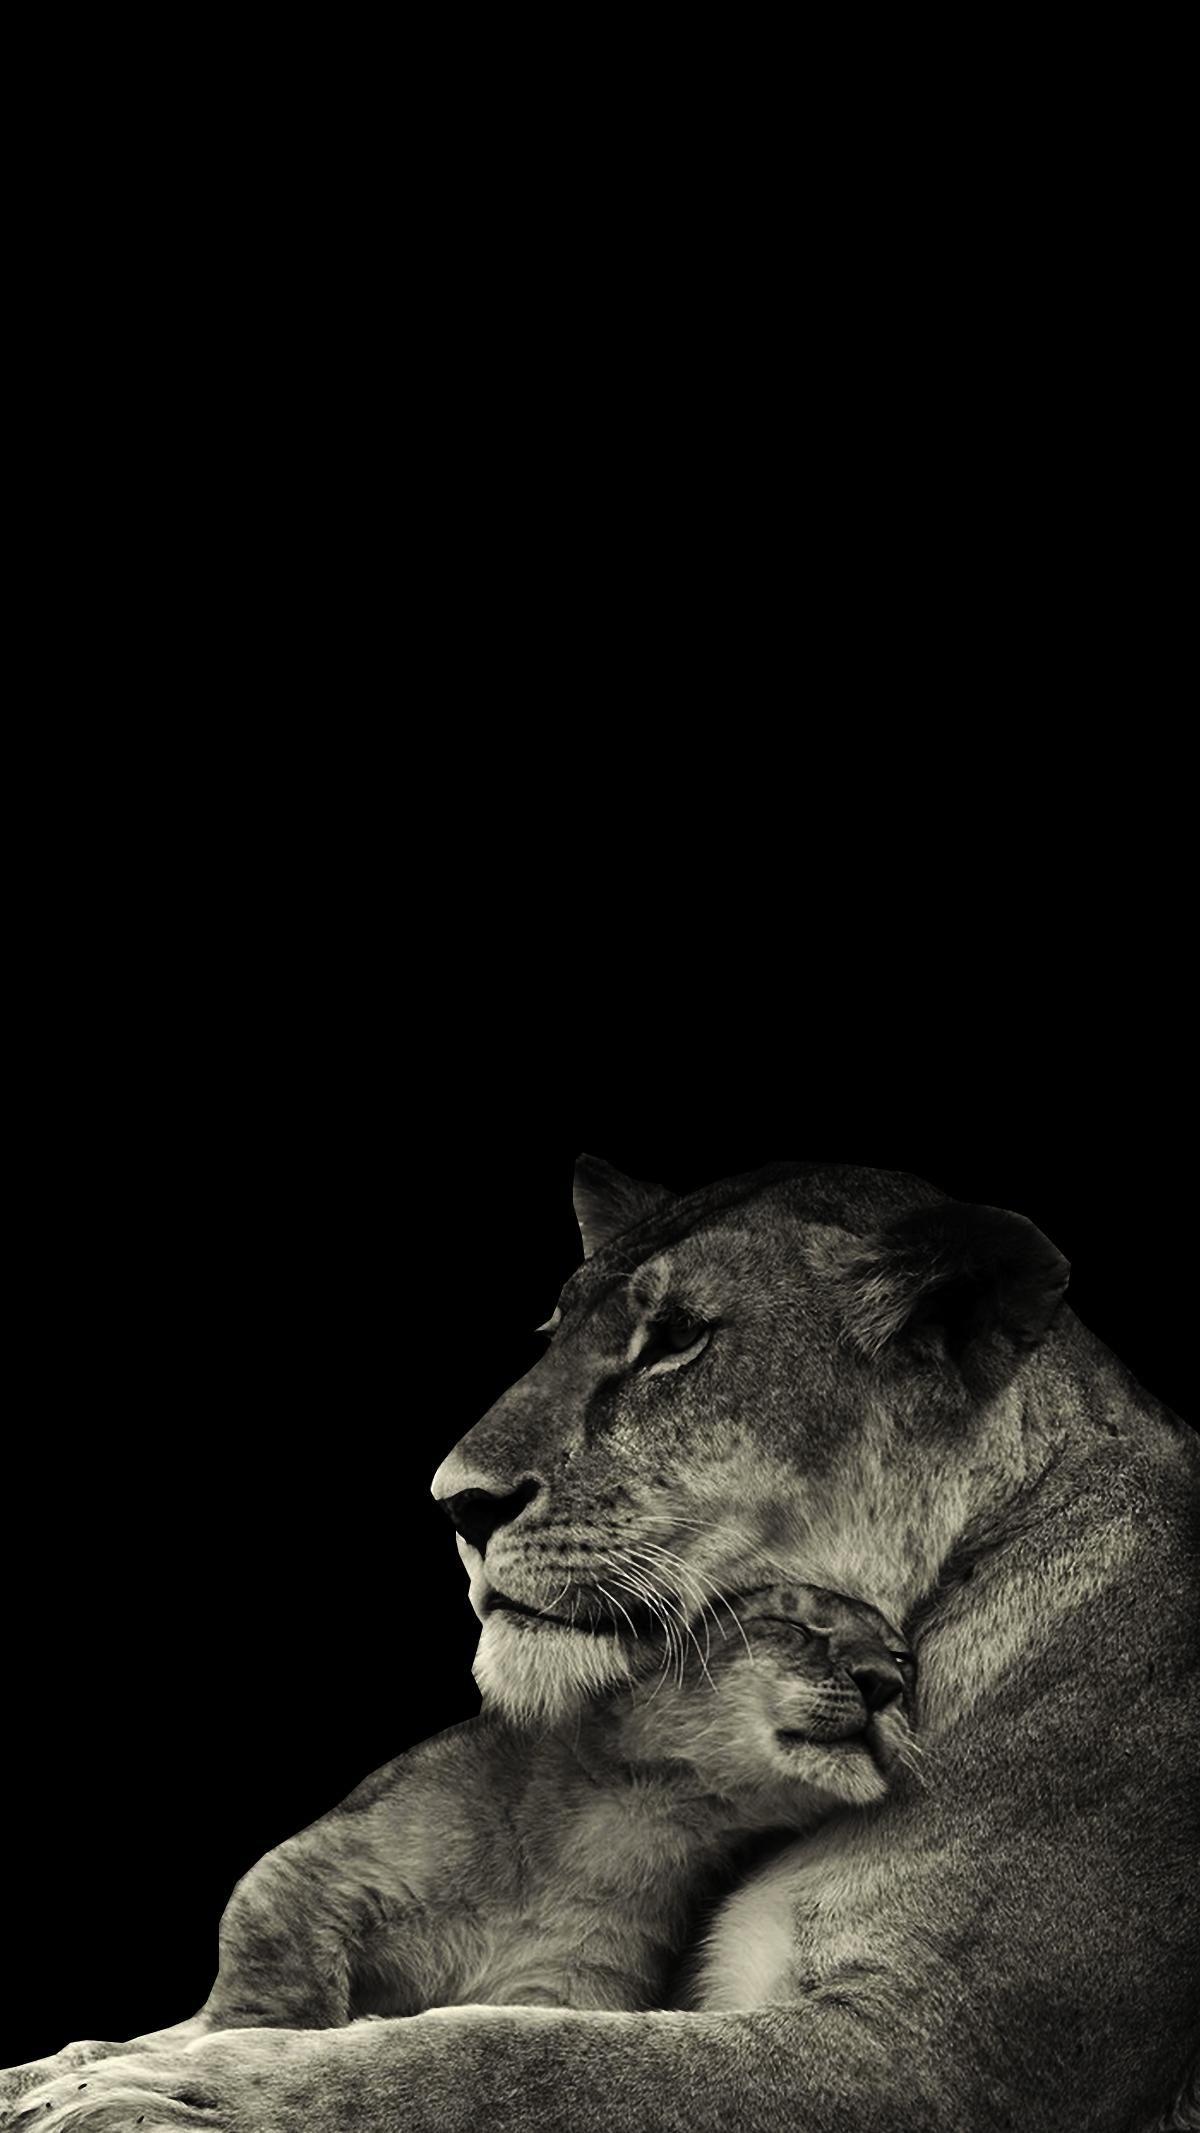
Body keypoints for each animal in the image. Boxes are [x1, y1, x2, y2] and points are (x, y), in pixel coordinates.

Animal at [5, 1157, 1197, 2133]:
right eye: (555, 1333)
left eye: (677, 1339)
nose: (456, 1504)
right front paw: (76, 2062)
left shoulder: (935, 2060)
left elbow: (503, 2066)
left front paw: (170, 2093)